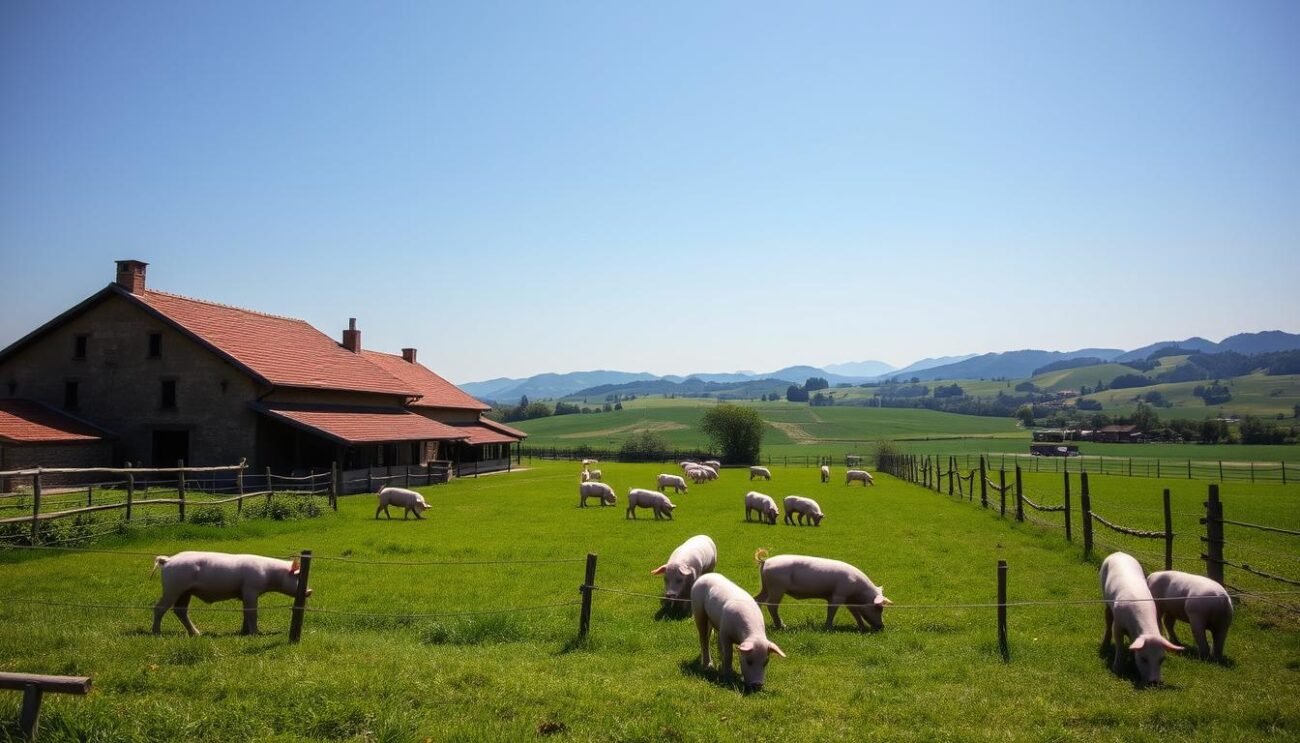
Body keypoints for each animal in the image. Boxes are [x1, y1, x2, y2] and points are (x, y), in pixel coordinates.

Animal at [150, 548, 308, 636]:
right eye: (297, 576)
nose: (310, 591)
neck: (270, 575)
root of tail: (168, 560)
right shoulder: (251, 589)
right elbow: (252, 611)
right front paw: (256, 634)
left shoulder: (244, 592)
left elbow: (245, 611)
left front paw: (244, 633)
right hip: (173, 588)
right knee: (159, 608)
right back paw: (157, 633)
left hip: (185, 591)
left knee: (180, 610)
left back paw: (197, 634)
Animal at [759, 550, 889, 633]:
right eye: (879, 607)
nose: (882, 626)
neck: (858, 591)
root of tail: (766, 561)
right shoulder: (839, 594)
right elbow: (832, 610)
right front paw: (828, 628)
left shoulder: (847, 599)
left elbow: (855, 612)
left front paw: (862, 628)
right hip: (777, 587)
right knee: (771, 605)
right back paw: (782, 627)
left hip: (766, 587)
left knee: (758, 600)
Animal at [1102, 550, 1185, 685]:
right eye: (1143, 659)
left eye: (1162, 659)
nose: (1154, 682)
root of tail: (1118, 553)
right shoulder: (1118, 625)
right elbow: (1119, 646)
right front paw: (1116, 669)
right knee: (1108, 618)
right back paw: (1105, 645)